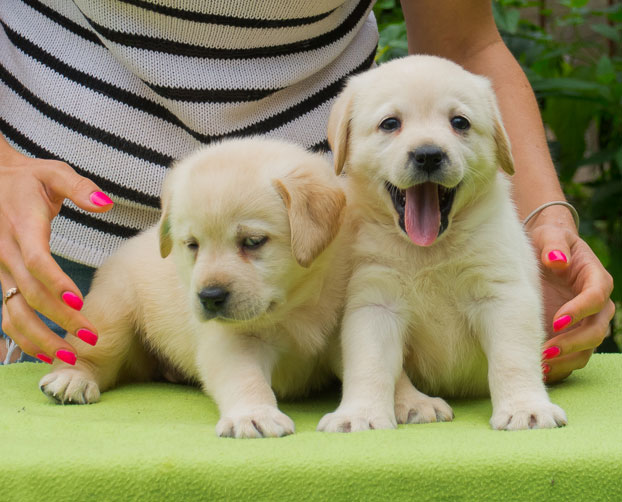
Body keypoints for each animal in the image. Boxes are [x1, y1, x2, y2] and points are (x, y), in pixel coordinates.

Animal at [40, 138, 352, 440]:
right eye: (192, 245)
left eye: (253, 241)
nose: (209, 297)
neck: (298, 303)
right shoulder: (232, 341)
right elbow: (246, 378)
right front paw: (254, 415)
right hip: (110, 316)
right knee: (85, 353)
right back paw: (71, 379)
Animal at [320, 55, 568, 432]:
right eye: (390, 124)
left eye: (459, 122)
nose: (428, 154)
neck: (429, 251)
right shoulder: (375, 301)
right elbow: (370, 364)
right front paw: (359, 414)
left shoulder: (502, 294)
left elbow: (512, 358)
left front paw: (526, 408)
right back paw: (415, 403)